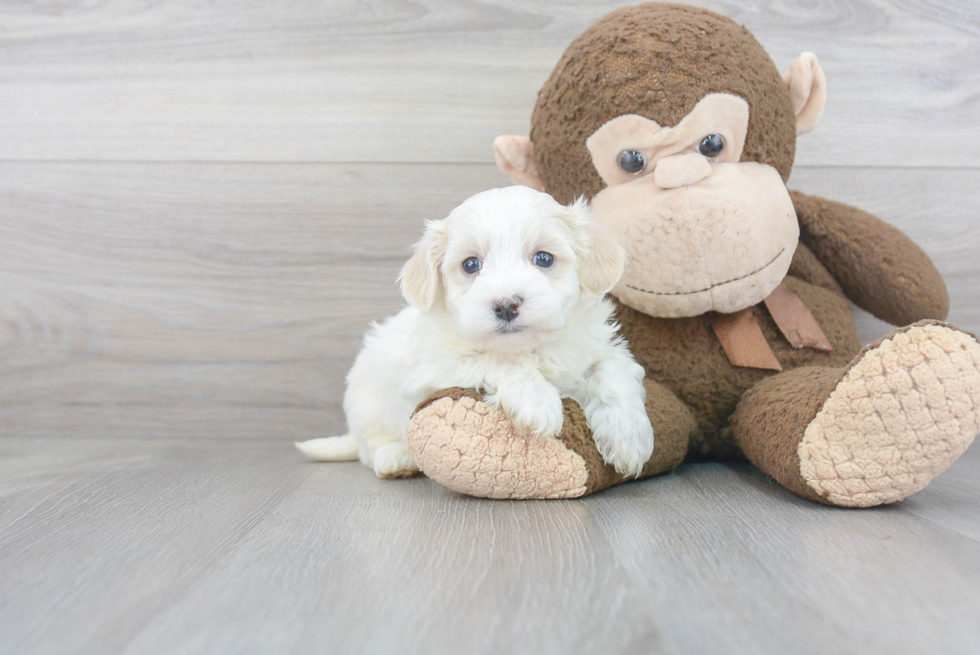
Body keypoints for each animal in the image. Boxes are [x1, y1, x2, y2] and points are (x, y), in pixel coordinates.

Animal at [294, 187, 656, 480]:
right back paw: (397, 458)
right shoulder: (436, 369)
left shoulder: (600, 347)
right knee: (372, 447)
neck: (531, 347)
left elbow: (612, 372)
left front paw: (629, 439)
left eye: (543, 258)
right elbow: (498, 361)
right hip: (367, 399)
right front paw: (537, 401)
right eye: (471, 265)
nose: (506, 304)